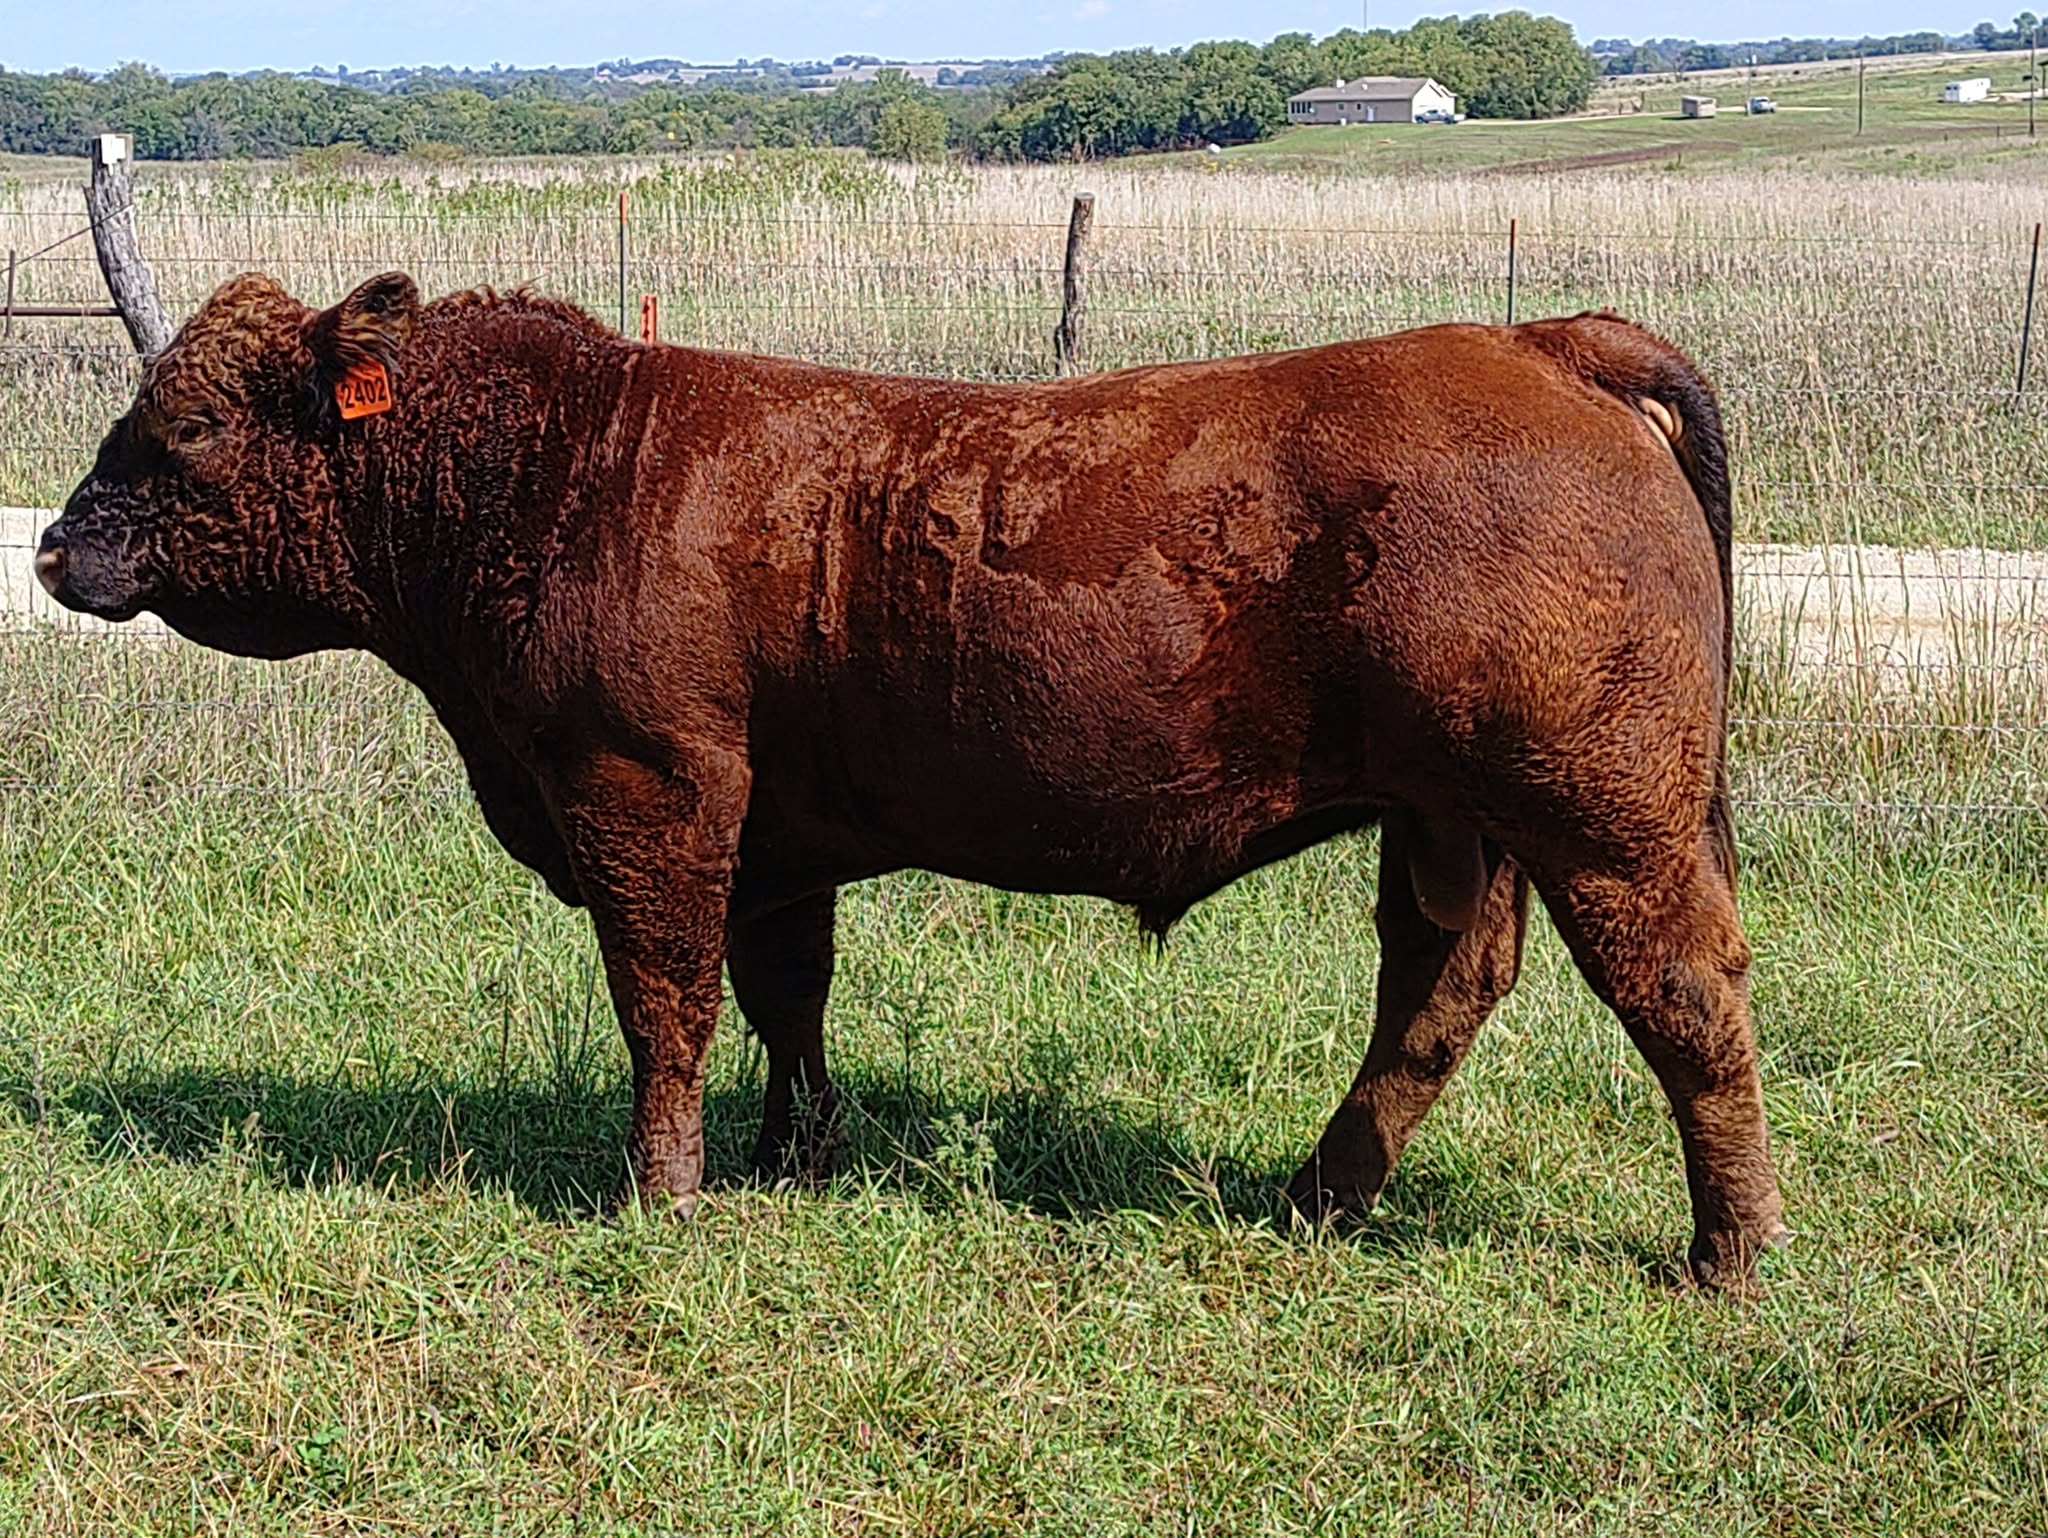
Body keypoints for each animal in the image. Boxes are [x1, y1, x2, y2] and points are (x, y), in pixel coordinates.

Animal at [37, 272, 1790, 1288]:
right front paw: (787, 1156)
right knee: (1439, 988)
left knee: (1686, 993)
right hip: (1456, 818)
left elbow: (663, 997)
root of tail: (1536, 340)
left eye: (182, 431)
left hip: (1603, 811)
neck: (563, 466)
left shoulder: (647, 786)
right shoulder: (770, 836)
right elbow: (780, 995)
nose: (53, 544)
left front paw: (660, 1192)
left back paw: (1728, 1251)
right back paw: (1319, 1195)